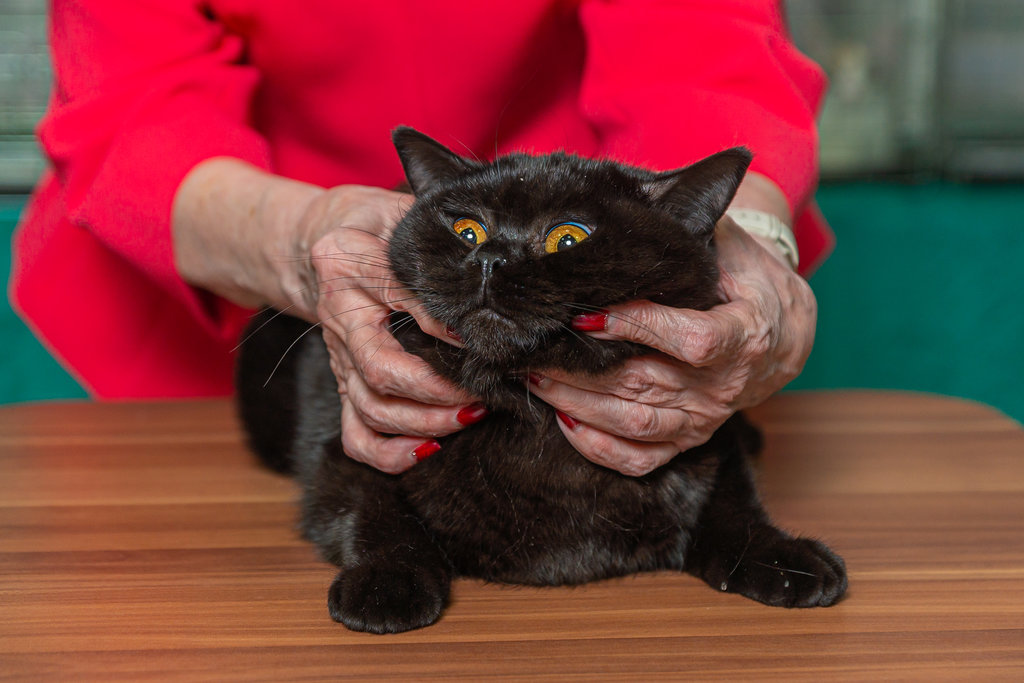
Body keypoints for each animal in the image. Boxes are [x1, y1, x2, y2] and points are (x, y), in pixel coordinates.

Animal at [235, 127, 847, 633]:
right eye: (467, 230)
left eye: (569, 238)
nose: (491, 258)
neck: (534, 421)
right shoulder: (348, 439)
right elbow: (373, 507)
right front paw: (385, 583)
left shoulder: (708, 442)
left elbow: (735, 506)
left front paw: (786, 558)